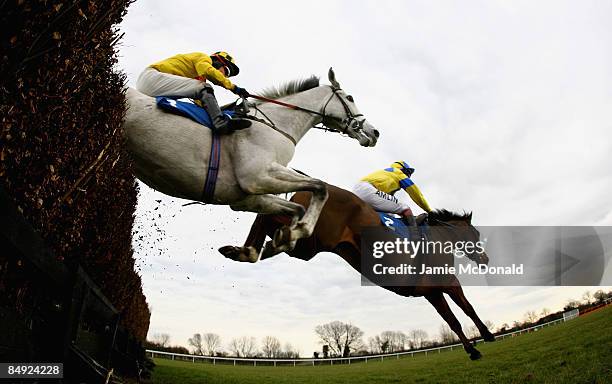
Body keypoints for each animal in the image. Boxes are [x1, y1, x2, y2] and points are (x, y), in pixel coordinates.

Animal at [123, 69, 378, 255]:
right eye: (350, 98)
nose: (374, 132)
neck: (276, 125)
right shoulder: (257, 176)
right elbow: (320, 187)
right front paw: (300, 229)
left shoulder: (246, 198)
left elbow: (297, 207)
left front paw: (283, 238)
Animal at [220, 183, 498, 360]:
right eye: (476, 234)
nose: (485, 259)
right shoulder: (448, 283)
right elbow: (467, 310)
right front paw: (485, 336)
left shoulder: (432, 292)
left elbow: (452, 320)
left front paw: (473, 348)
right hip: (313, 241)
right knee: (274, 221)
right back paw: (256, 246)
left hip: (309, 246)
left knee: (267, 218)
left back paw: (244, 250)